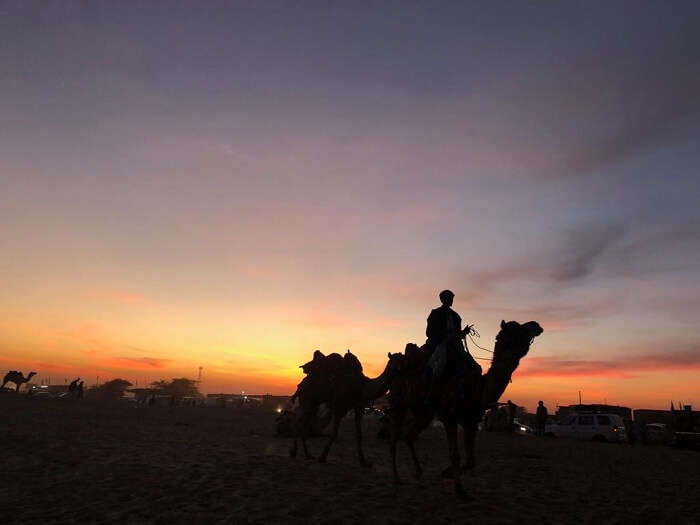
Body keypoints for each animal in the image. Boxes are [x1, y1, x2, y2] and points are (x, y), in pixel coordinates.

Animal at [388, 318, 540, 498]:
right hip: (399, 405)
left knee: (408, 436)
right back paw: (396, 478)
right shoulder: (450, 418)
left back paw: (418, 472)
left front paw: (447, 473)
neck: (476, 389)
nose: (536, 325)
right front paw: (459, 489)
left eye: (524, 331)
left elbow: (471, 460)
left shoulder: (471, 421)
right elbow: (455, 455)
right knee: (394, 439)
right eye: (511, 331)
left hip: (424, 413)